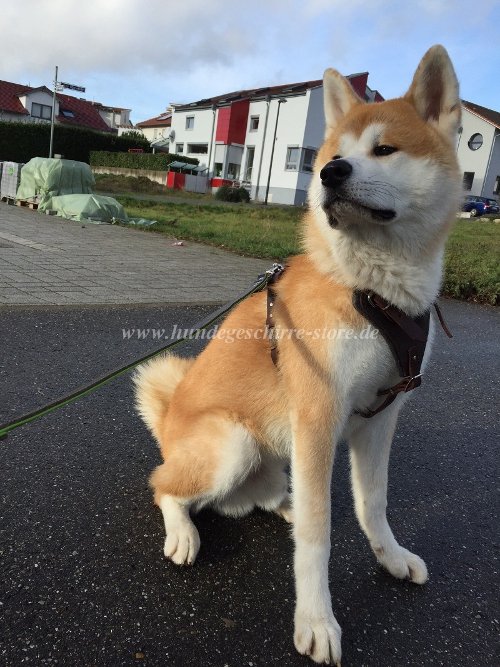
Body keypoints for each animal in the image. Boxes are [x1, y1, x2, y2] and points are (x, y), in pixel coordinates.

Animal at [134, 44, 460, 664]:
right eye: (332, 157)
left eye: (384, 149)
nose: (331, 173)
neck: (372, 289)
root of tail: (169, 422)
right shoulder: (318, 416)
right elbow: (317, 535)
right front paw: (316, 619)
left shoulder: (379, 420)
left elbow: (371, 505)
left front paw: (390, 556)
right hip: (232, 443)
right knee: (164, 486)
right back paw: (184, 531)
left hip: (277, 453)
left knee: (270, 496)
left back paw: (282, 501)